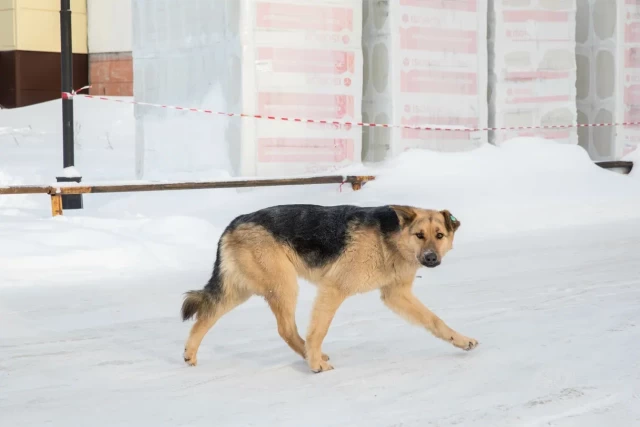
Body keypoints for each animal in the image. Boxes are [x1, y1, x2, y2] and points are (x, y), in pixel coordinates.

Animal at [180, 202, 476, 372]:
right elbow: (318, 331)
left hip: (241, 291)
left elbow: (435, 321)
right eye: (419, 235)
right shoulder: (334, 288)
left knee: (205, 315)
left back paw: (190, 354)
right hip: (284, 285)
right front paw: (314, 364)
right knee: (286, 330)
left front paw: (461, 341)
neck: (390, 240)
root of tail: (235, 221)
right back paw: (312, 358)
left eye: (440, 236)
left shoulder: (396, 295)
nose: (431, 258)